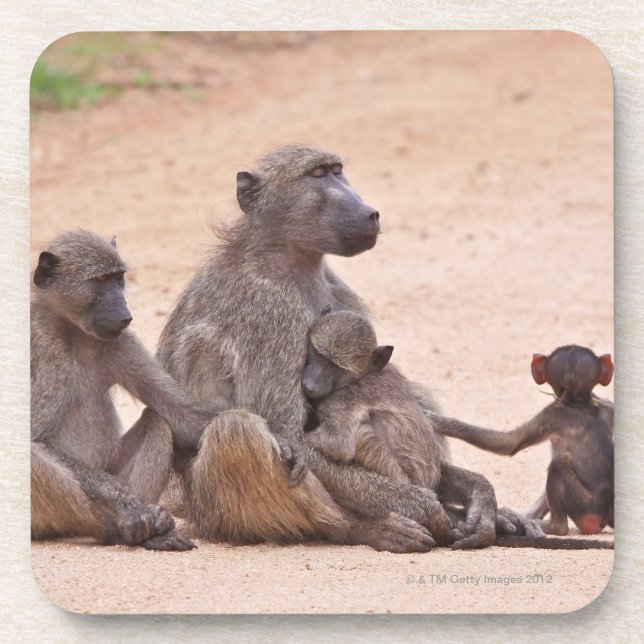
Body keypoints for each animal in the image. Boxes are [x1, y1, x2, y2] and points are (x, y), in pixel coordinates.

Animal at [31, 229, 214, 550]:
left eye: (118, 279)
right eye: (100, 280)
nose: (125, 314)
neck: (74, 331)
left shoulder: (122, 340)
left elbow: (182, 415)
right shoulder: (46, 347)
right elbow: (36, 438)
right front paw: (128, 506)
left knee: (158, 419)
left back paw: (152, 532)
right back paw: (120, 526)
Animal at [118, 145, 537, 552]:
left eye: (338, 171)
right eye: (317, 174)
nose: (370, 213)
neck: (287, 258)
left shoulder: (339, 295)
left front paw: (480, 498)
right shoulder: (271, 310)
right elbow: (291, 436)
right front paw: (431, 508)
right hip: (210, 511)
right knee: (238, 430)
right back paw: (369, 529)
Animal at [430, 345, 614, 539]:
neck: (578, 400)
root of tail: (606, 512)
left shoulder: (551, 414)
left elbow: (509, 444)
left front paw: (441, 422)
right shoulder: (607, 407)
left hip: (585, 506)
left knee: (558, 465)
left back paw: (553, 526)